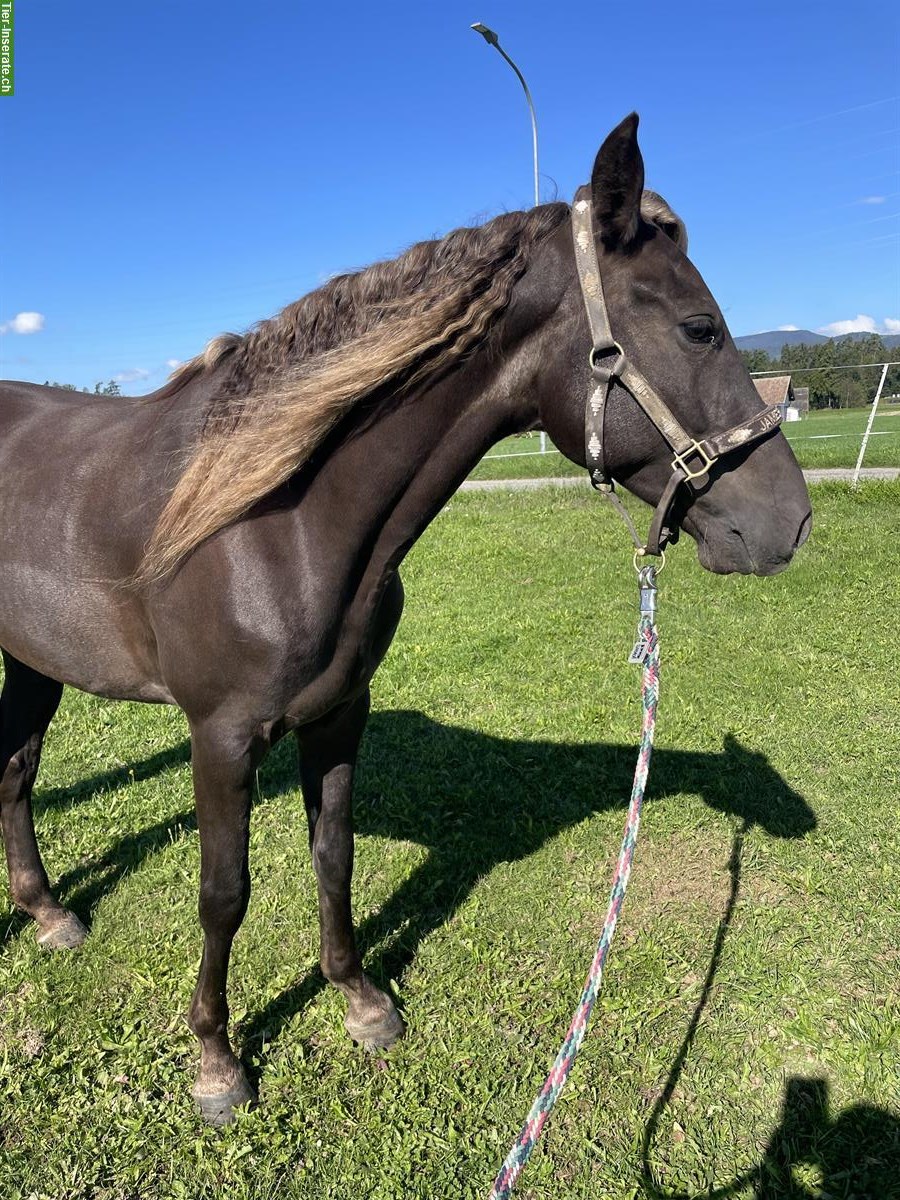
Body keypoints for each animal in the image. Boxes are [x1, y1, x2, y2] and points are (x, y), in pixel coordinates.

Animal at [0, 112, 816, 1123]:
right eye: (700, 327)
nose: (788, 522)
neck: (277, 517)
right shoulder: (221, 738)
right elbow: (223, 892)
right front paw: (217, 1062)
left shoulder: (338, 714)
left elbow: (334, 857)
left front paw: (360, 1002)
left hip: (34, 662)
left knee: (15, 772)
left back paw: (48, 914)